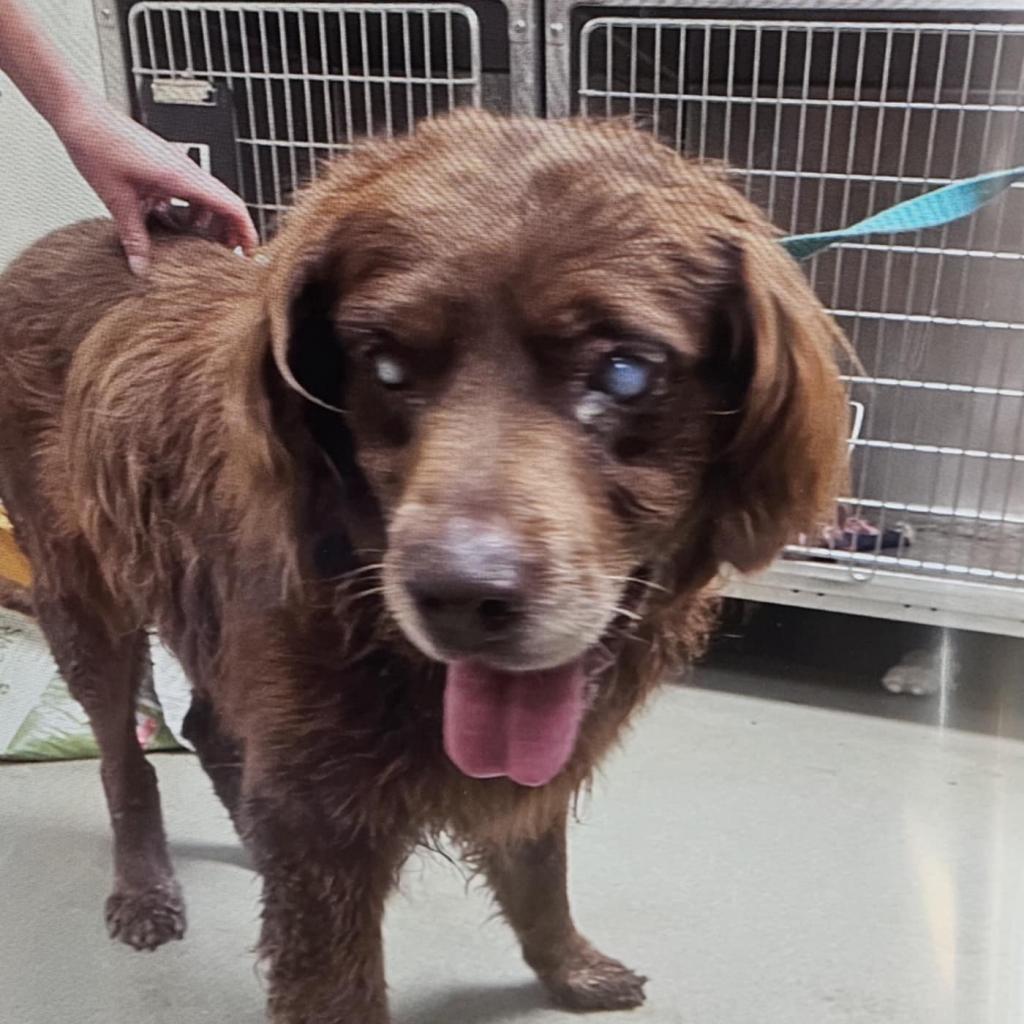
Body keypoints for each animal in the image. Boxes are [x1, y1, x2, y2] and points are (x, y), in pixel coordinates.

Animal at [0, 108, 843, 1019]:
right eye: (386, 366)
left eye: (623, 371)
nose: (461, 598)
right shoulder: (323, 819)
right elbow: (339, 982)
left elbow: (540, 871)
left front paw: (567, 966)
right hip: (85, 605)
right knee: (125, 760)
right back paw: (145, 888)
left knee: (210, 730)